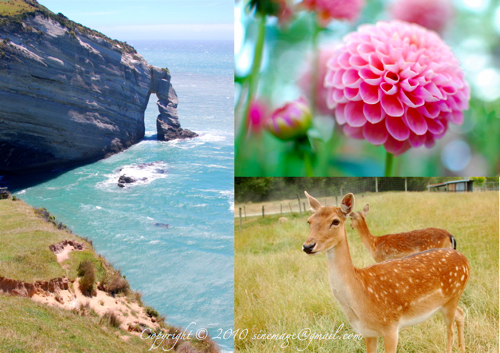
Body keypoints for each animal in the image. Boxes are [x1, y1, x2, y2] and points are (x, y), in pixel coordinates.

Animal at [302, 192, 470, 352]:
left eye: (335, 221)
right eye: (309, 221)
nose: (308, 246)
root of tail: (465, 260)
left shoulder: (391, 327)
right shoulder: (367, 332)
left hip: (453, 295)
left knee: (450, 331)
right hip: (445, 302)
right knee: (461, 314)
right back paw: (463, 348)